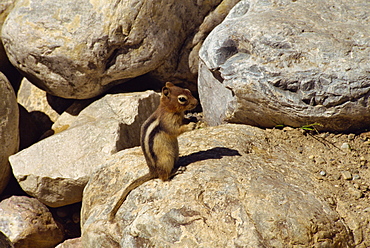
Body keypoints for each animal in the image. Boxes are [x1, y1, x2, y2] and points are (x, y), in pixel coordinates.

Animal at [108, 82, 198, 221]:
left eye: (188, 90)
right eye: (182, 99)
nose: (197, 102)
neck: (168, 110)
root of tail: (152, 171)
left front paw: (193, 118)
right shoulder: (168, 122)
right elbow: (176, 130)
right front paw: (190, 126)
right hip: (166, 160)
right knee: (163, 177)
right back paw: (176, 171)